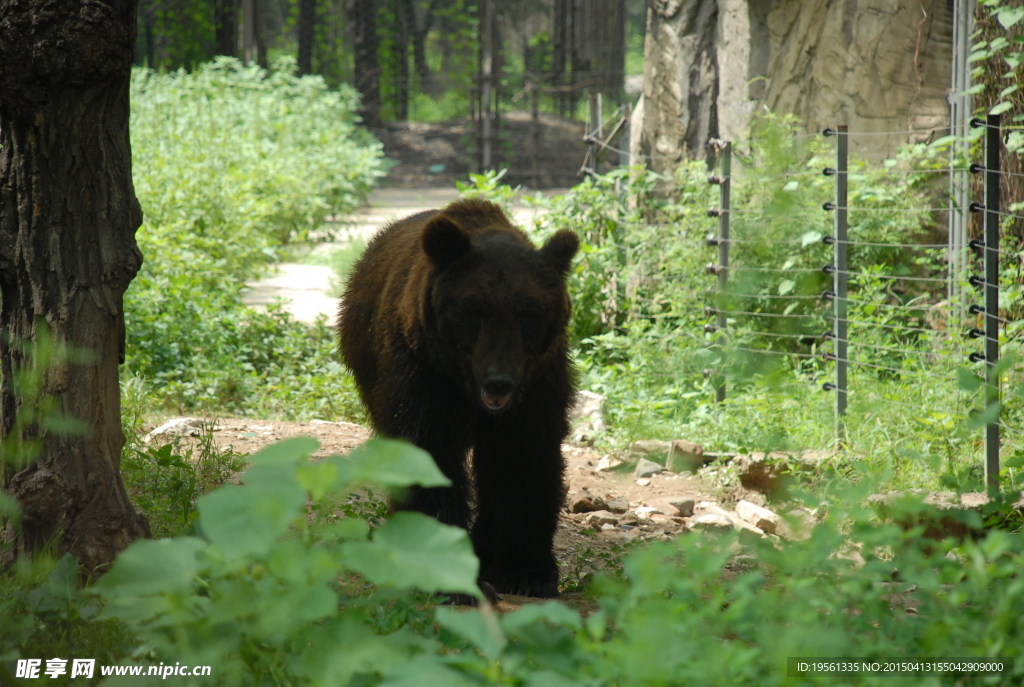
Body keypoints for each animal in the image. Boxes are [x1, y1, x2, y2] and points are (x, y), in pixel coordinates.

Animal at [339, 197, 581, 597]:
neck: (467, 387)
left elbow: (523, 459)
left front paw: (526, 571)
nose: (499, 382)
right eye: (474, 309)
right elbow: (428, 450)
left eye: (528, 312)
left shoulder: (535, 385)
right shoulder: (422, 373)